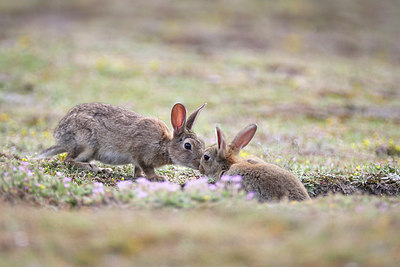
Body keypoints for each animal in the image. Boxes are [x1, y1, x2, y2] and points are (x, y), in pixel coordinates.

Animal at [39, 102, 206, 182]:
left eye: (203, 143)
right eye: (188, 145)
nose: (200, 165)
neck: (164, 145)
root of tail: (60, 135)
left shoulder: (138, 161)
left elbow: (137, 170)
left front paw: (139, 177)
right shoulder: (141, 154)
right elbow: (147, 169)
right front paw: (157, 178)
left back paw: (104, 169)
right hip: (86, 144)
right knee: (68, 160)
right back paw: (92, 167)